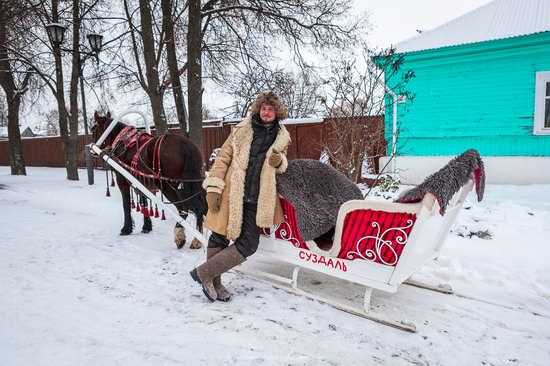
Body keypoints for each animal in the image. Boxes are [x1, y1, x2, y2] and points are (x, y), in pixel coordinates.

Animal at [91, 111, 208, 249]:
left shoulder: (122, 180)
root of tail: (183, 144)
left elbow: (126, 204)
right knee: (201, 207)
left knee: (182, 207)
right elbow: (144, 202)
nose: (92, 148)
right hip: (194, 182)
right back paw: (197, 239)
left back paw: (180, 236)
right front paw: (146, 227)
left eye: (93, 128)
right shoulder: (141, 182)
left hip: (168, 185)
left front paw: (126, 228)